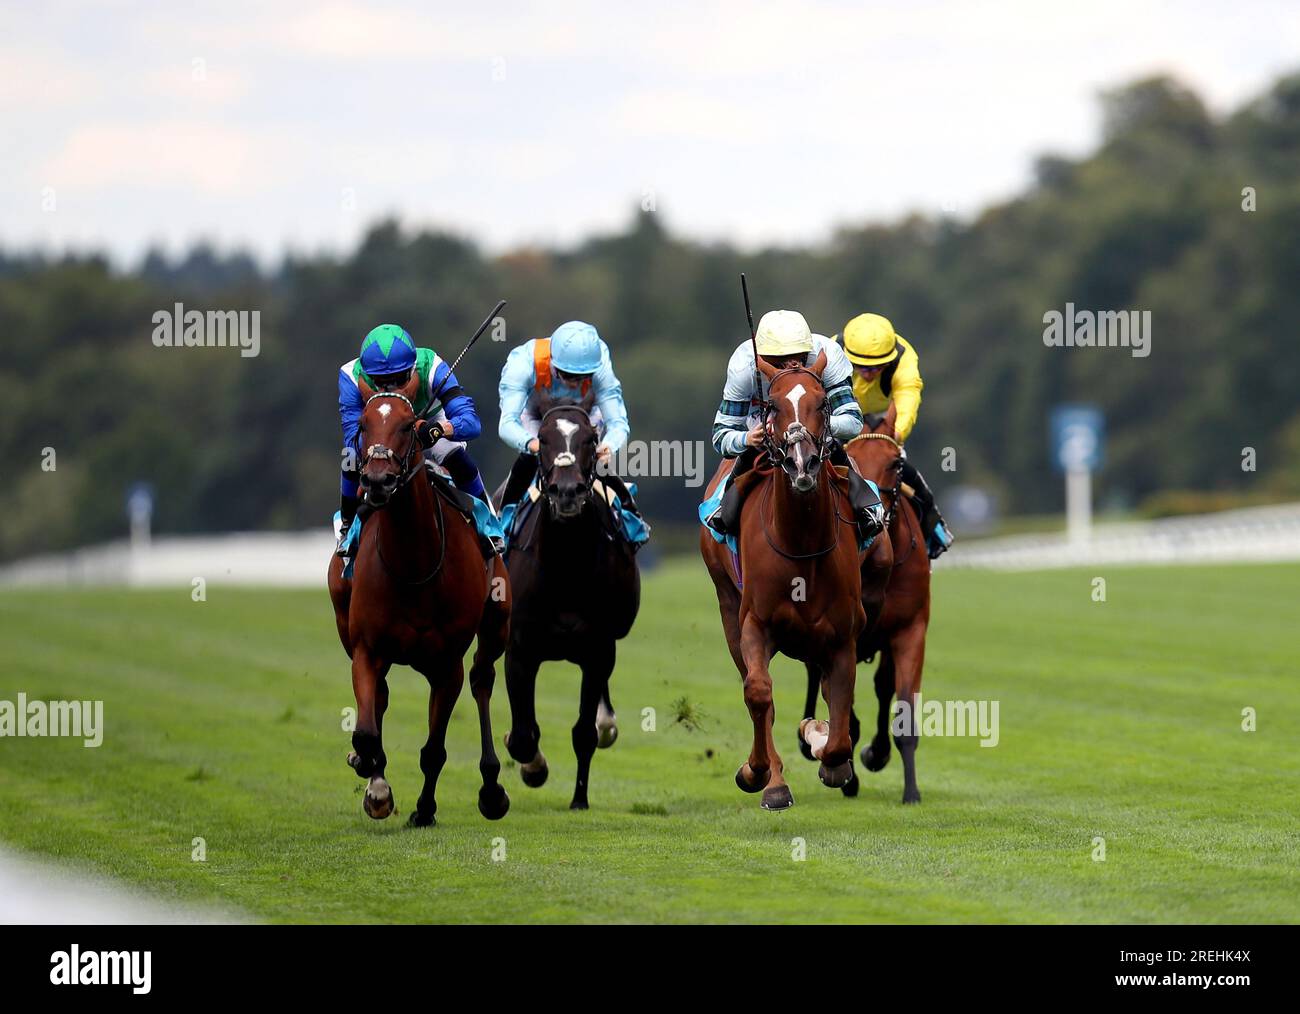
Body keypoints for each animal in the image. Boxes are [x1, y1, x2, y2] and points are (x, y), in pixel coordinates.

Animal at [325, 369, 512, 826]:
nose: (377, 482)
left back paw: (491, 787)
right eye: (363, 425)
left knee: (482, 680)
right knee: (381, 698)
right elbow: (368, 729)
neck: (413, 564)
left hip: (496, 621)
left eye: (409, 426)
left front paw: (424, 809)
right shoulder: (366, 649)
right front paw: (373, 780)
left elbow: (434, 750)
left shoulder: (447, 664)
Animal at [491, 392, 639, 811]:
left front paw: (579, 799)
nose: (568, 492)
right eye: (542, 438)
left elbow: (584, 732)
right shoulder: (520, 650)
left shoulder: (598, 649)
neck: (566, 566)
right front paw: (533, 768)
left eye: (590, 439)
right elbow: (523, 735)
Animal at [702, 353, 863, 811]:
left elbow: (841, 723)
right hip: (727, 607)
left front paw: (824, 746)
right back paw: (771, 779)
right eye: (771, 406)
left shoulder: (843, 636)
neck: (801, 542)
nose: (801, 463)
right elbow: (759, 694)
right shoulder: (754, 624)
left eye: (822, 403)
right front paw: (758, 774)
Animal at [795, 400, 930, 806]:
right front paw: (845, 770)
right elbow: (841, 706)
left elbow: (902, 709)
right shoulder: (841, 635)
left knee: (882, 685)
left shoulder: (910, 629)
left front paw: (910, 790)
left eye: (896, 463)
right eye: (850, 459)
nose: (876, 517)